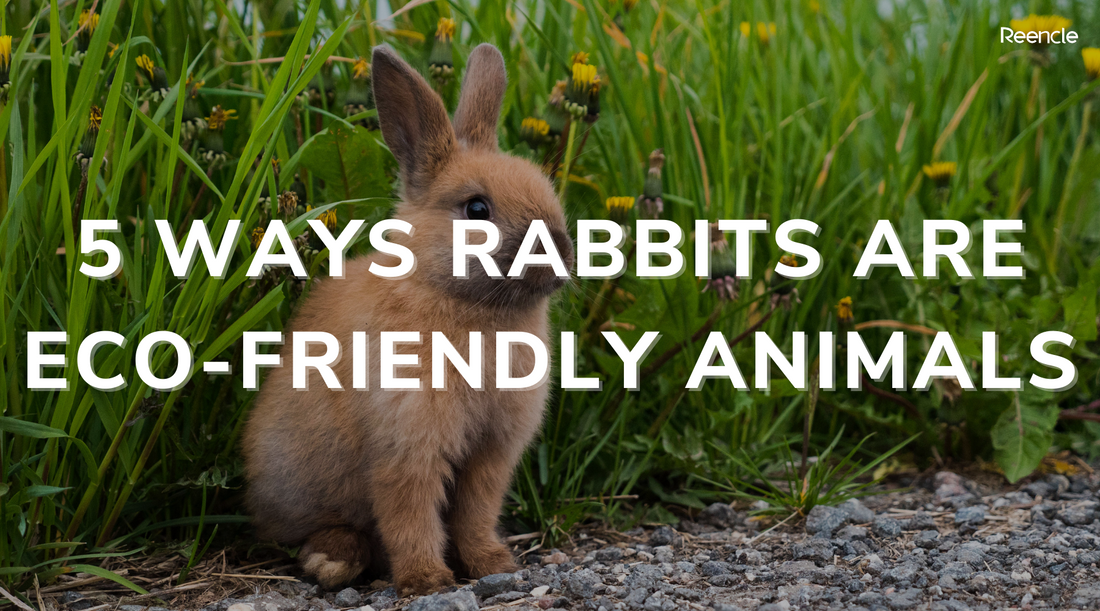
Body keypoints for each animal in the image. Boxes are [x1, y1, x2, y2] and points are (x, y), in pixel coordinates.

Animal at [241, 43, 574, 596]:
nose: (563, 255)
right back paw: (331, 561)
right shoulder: (406, 445)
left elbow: (475, 513)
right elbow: (410, 514)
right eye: (477, 208)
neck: (466, 302)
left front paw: (493, 565)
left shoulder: (491, 454)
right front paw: (427, 580)